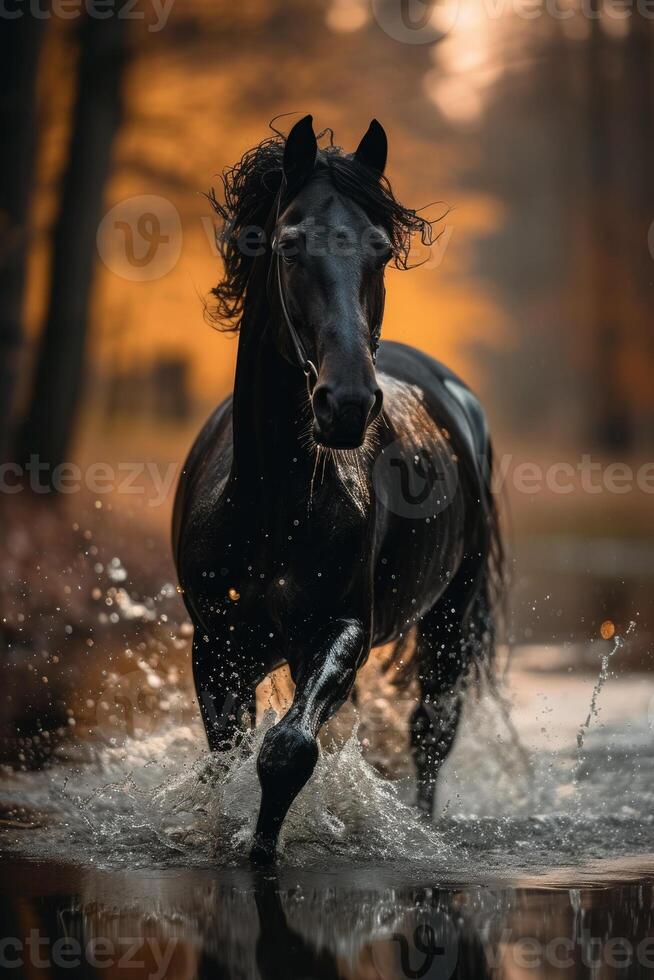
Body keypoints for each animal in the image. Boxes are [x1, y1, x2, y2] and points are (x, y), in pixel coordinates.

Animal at [172, 117, 504, 864]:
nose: (348, 402)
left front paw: (264, 849)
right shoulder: (215, 647)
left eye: (379, 247)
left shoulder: (339, 632)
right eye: (289, 242)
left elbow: (288, 750)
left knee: (430, 733)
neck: (269, 511)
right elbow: (225, 761)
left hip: (449, 623)